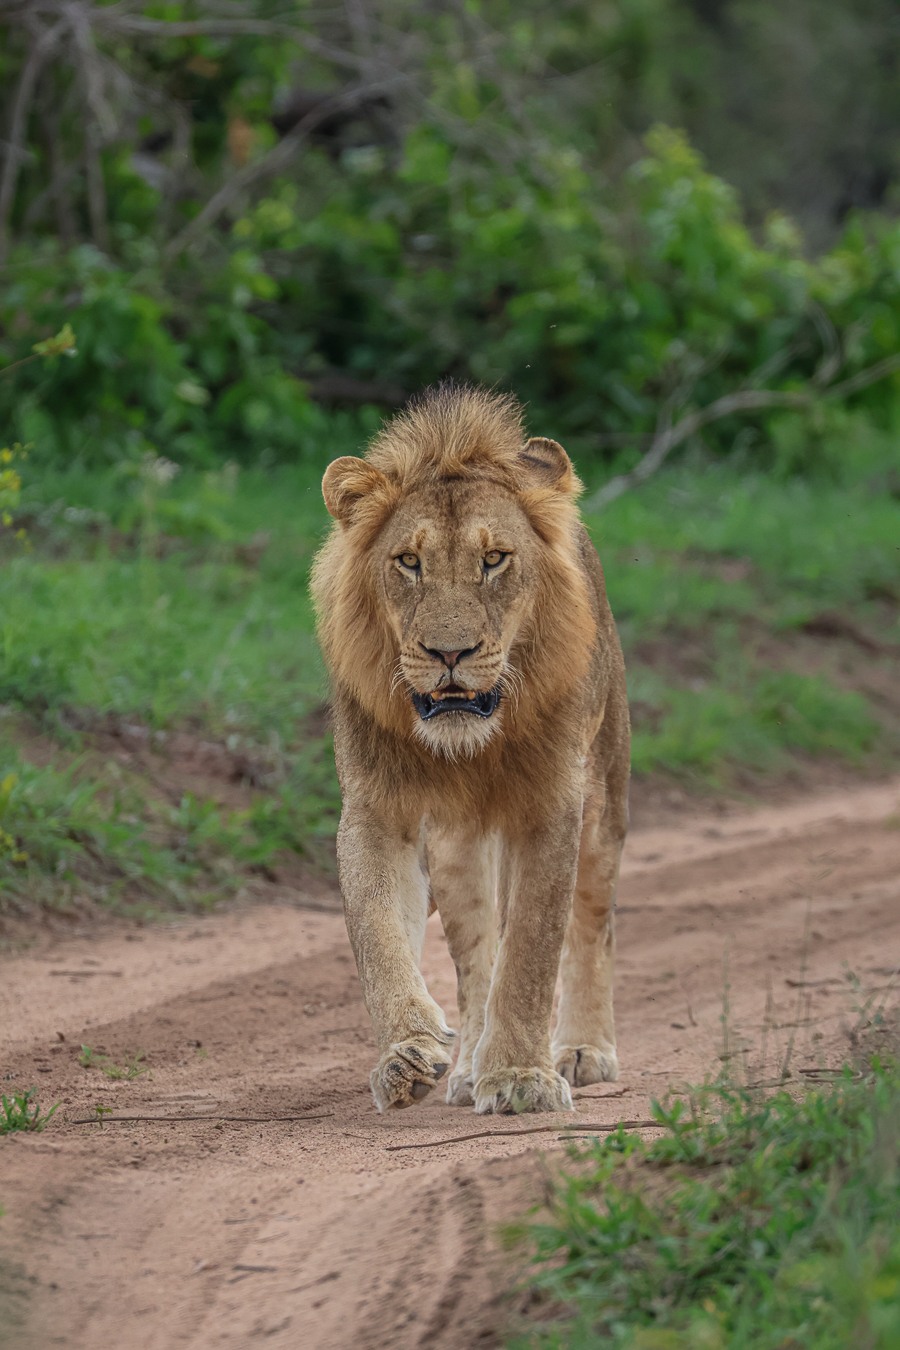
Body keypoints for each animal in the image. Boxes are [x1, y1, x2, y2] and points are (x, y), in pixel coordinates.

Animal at [311, 385, 630, 1114]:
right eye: (409, 561)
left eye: (494, 560)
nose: (448, 653)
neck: (473, 745)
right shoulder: (376, 812)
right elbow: (376, 933)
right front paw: (406, 1055)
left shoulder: (552, 807)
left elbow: (533, 950)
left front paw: (520, 1077)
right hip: (458, 848)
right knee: (477, 956)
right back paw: (464, 1070)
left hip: (605, 802)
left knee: (592, 924)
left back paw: (580, 1050)